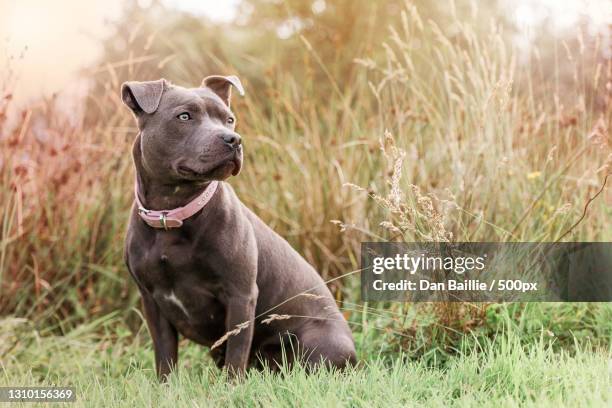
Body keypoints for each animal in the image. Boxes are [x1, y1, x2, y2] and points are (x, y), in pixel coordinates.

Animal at [121, 75, 356, 380]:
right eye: (184, 116)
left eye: (229, 119)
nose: (234, 139)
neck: (171, 216)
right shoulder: (152, 302)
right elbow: (165, 357)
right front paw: (166, 387)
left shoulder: (240, 295)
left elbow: (237, 351)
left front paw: (232, 387)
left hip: (320, 341)